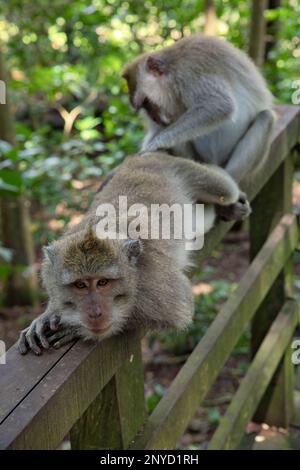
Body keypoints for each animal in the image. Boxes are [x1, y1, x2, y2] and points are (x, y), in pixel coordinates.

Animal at [18, 152, 251, 354]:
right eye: (80, 285)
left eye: (103, 283)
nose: (95, 313)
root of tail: (142, 158)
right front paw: (48, 315)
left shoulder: (154, 283)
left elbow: (178, 308)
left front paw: (73, 328)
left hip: (184, 168)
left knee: (225, 190)